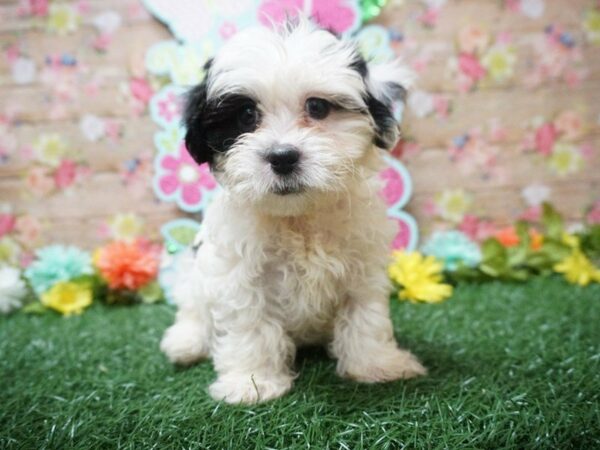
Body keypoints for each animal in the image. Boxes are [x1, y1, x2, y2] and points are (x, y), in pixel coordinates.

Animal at [162, 18, 426, 404]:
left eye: (317, 107)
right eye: (246, 115)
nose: (283, 156)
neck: (299, 217)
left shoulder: (363, 267)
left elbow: (365, 315)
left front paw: (377, 364)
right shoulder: (238, 274)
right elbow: (250, 324)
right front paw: (252, 382)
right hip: (192, 274)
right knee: (193, 308)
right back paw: (186, 342)